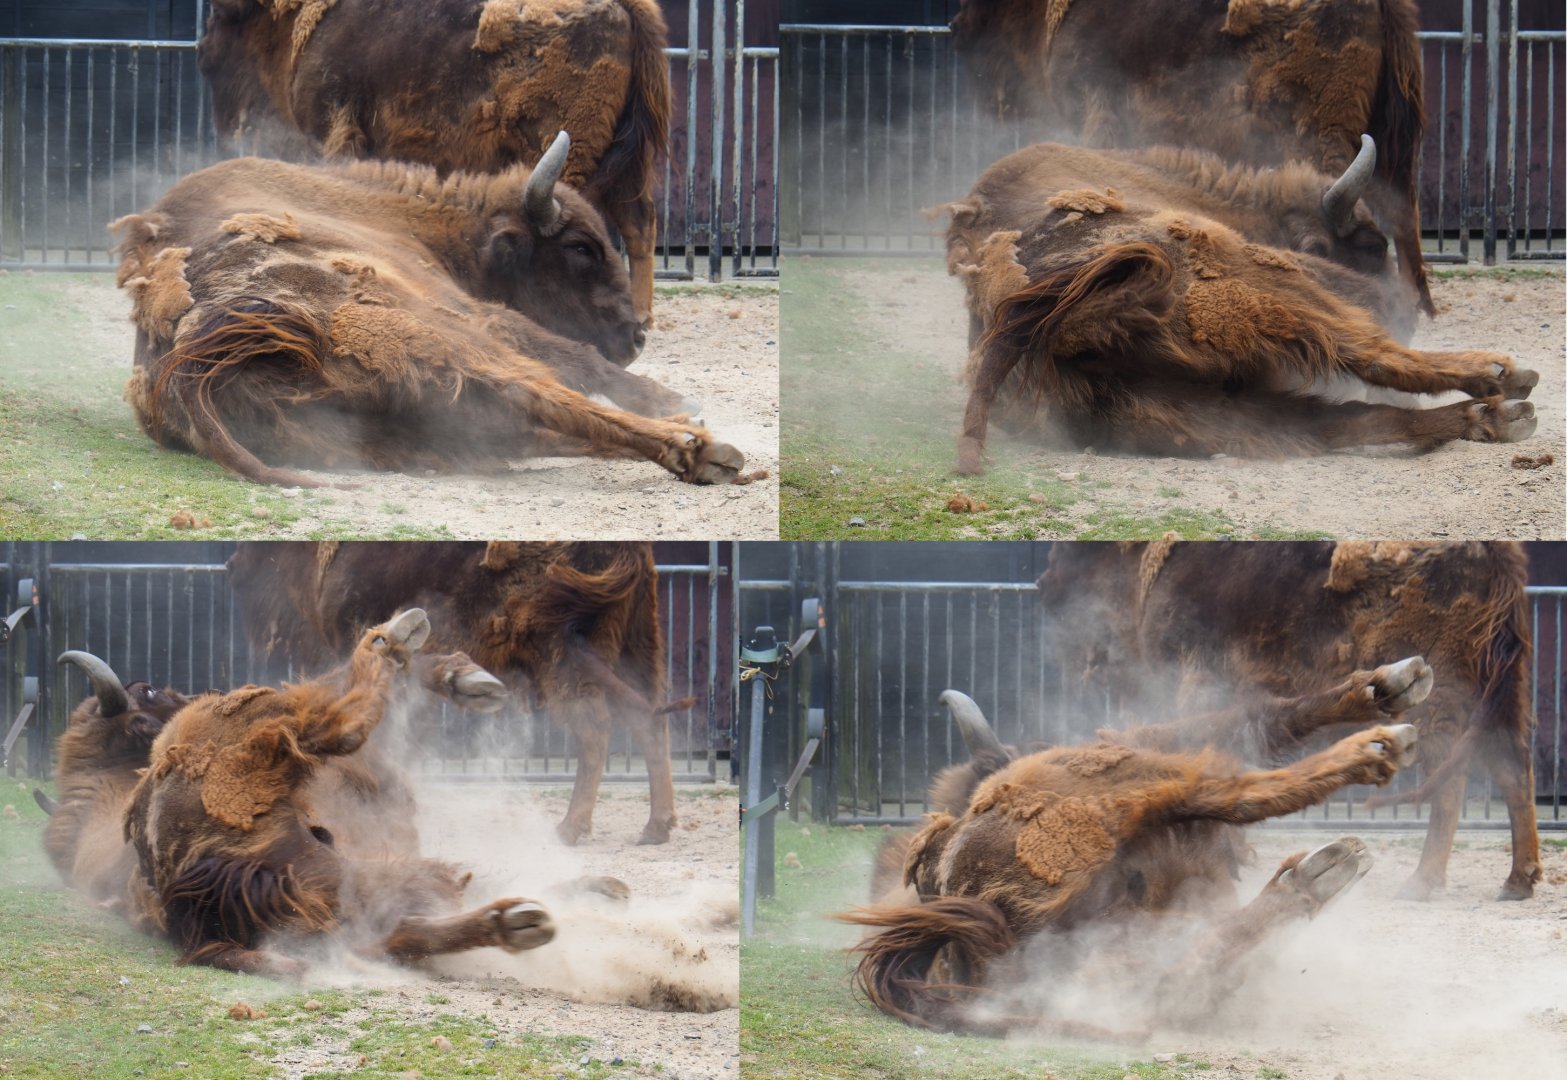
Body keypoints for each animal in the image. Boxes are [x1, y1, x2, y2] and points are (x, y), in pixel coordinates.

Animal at [111, 132, 743, 488]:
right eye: (582, 248)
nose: (636, 335)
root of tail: (191, 364)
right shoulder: (474, 310)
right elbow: (571, 355)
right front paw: (672, 397)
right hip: (441, 335)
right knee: (533, 392)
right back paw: (698, 445)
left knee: (523, 427)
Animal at [197, 0, 670, 331]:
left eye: (221, 17)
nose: (203, 53)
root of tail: (627, 8)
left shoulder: (332, 131)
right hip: (627, 160)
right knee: (641, 223)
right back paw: (643, 314)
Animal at [226, 540, 684, 846]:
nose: (234, 564)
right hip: (637, 645)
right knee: (650, 723)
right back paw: (655, 827)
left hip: (561, 656)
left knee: (595, 732)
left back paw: (569, 829)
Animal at [943, 137, 1538, 473]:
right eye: (1372, 247)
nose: (1408, 314)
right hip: (1275, 290)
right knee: (1370, 359)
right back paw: (1503, 379)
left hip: (1201, 406)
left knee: (1350, 420)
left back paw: (1496, 418)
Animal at [1036, 540, 1542, 901]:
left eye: (1077, 553)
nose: (1044, 585)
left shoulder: (1188, 679)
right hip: (1501, 694)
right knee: (1514, 769)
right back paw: (1518, 881)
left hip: (1444, 700)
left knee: (1452, 783)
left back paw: (1422, 884)